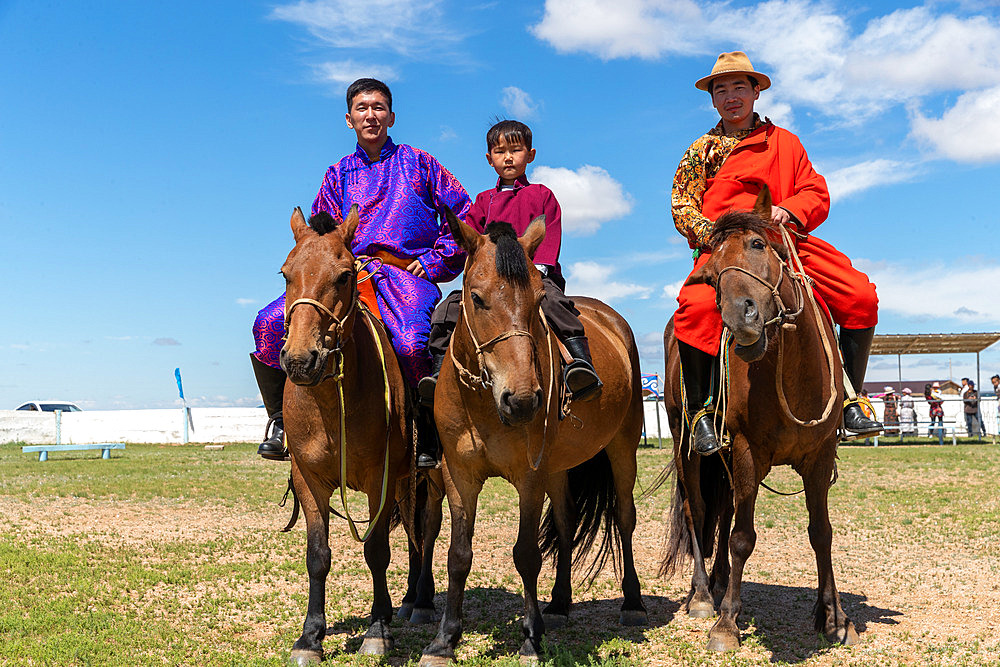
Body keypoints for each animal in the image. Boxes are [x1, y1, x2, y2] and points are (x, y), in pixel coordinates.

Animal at [280, 206, 440, 664]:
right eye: (285, 274)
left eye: (344, 276)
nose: (301, 360)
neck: (332, 407)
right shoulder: (309, 480)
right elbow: (318, 556)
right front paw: (310, 637)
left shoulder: (378, 481)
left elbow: (376, 552)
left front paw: (377, 631)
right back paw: (409, 602)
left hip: (429, 479)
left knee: (426, 532)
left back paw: (420, 603)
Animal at [418, 214, 644, 667]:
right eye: (477, 298)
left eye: (539, 299)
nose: (522, 399)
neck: (483, 402)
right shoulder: (459, 476)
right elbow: (458, 555)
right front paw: (444, 640)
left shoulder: (529, 477)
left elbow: (526, 555)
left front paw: (529, 639)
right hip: (558, 467)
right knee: (567, 521)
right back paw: (558, 604)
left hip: (622, 448)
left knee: (624, 519)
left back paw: (632, 603)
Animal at [664, 188, 860, 652]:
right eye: (711, 275)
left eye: (757, 244)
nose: (741, 317)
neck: (792, 369)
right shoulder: (747, 451)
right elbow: (743, 538)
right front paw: (726, 624)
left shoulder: (819, 456)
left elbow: (821, 532)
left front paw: (834, 616)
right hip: (687, 447)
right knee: (699, 511)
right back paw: (704, 595)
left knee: (723, 512)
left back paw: (719, 584)